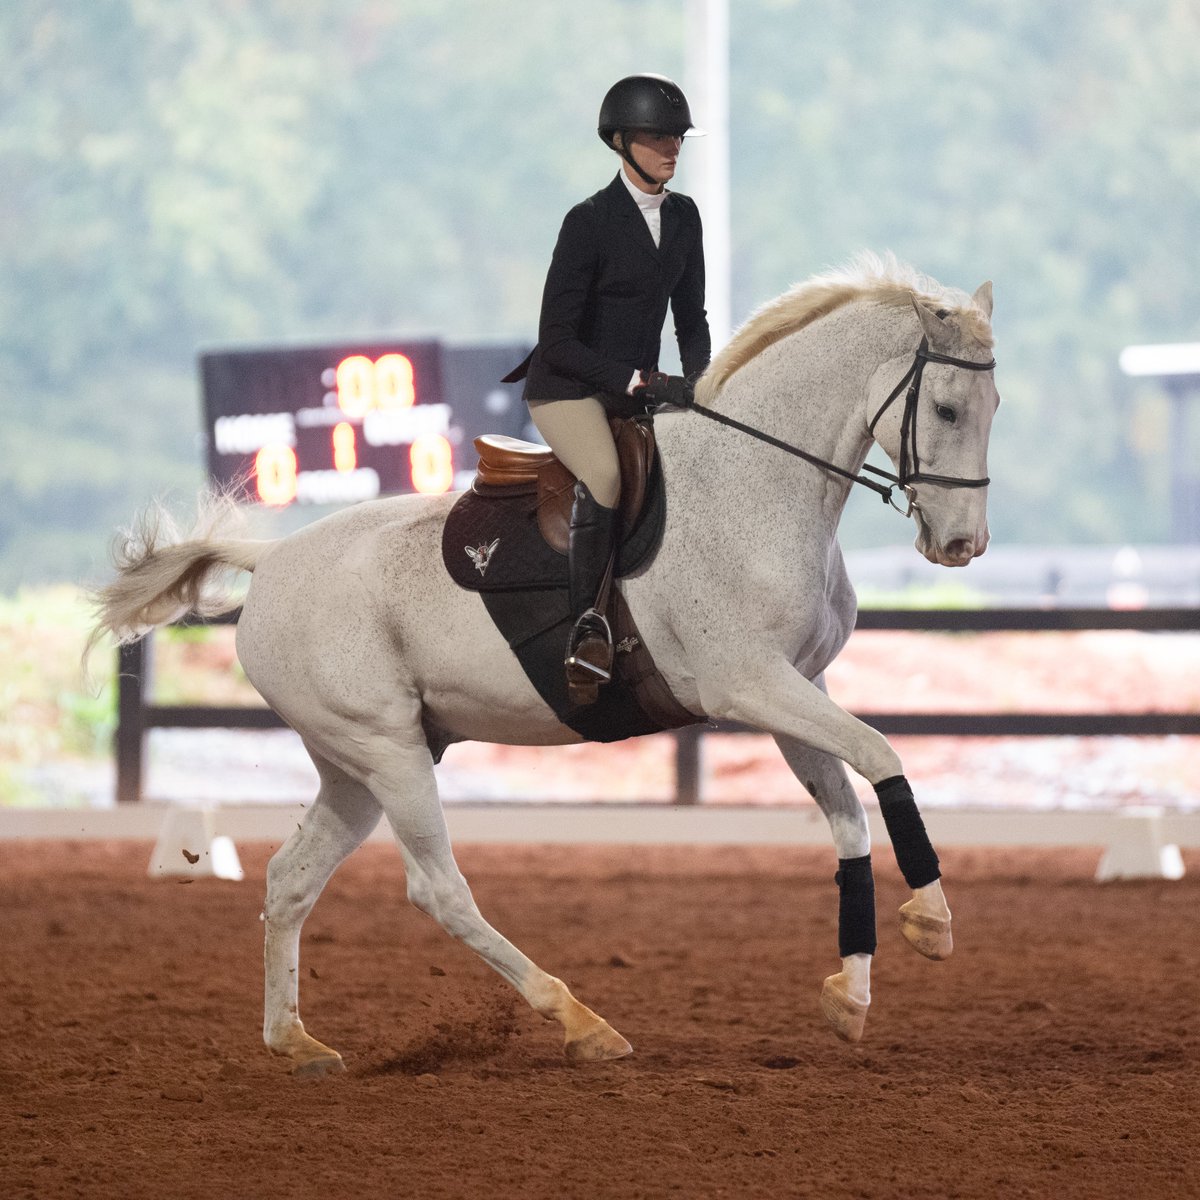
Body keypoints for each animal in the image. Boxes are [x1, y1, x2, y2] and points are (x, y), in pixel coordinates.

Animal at [88, 255, 998, 1080]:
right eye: (947, 407)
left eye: (994, 406)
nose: (962, 546)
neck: (756, 486)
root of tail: (270, 561)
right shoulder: (750, 686)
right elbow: (883, 754)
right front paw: (934, 921)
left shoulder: (796, 688)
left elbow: (847, 819)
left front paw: (851, 997)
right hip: (388, 753)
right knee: (439, 891)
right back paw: (580, 1022)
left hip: (354, 767)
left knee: (289, 879)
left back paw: (296, 1042)